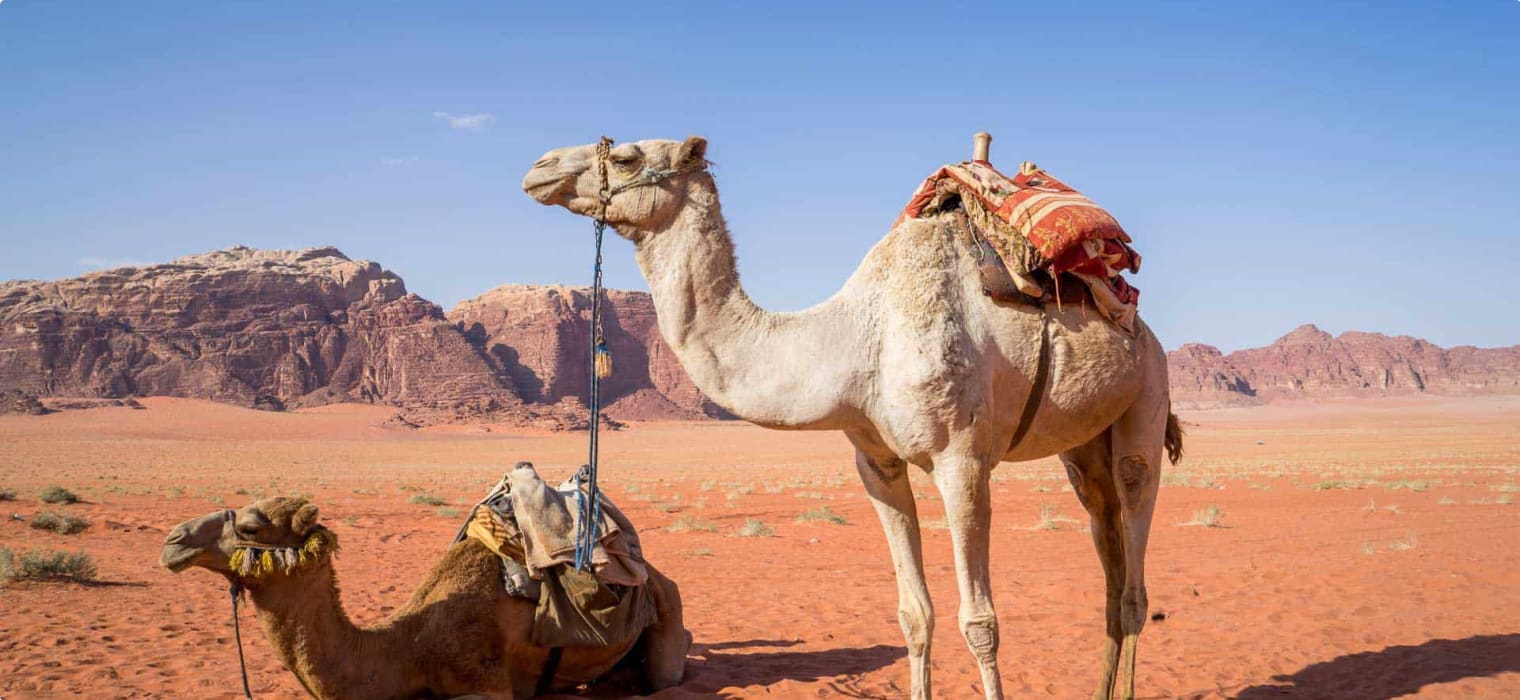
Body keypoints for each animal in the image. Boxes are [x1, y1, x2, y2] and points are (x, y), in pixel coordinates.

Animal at [525, 137, 1185, 698]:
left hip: (1146, 397)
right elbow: (914, 614)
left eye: (628, 157)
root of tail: (1142, 327)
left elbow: (981, 621)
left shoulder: (962, 460)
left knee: (1133, 568)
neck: (854, 341)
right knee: (1106, 554)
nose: (540, 167)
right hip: (1083, 446)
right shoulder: (877, 462)